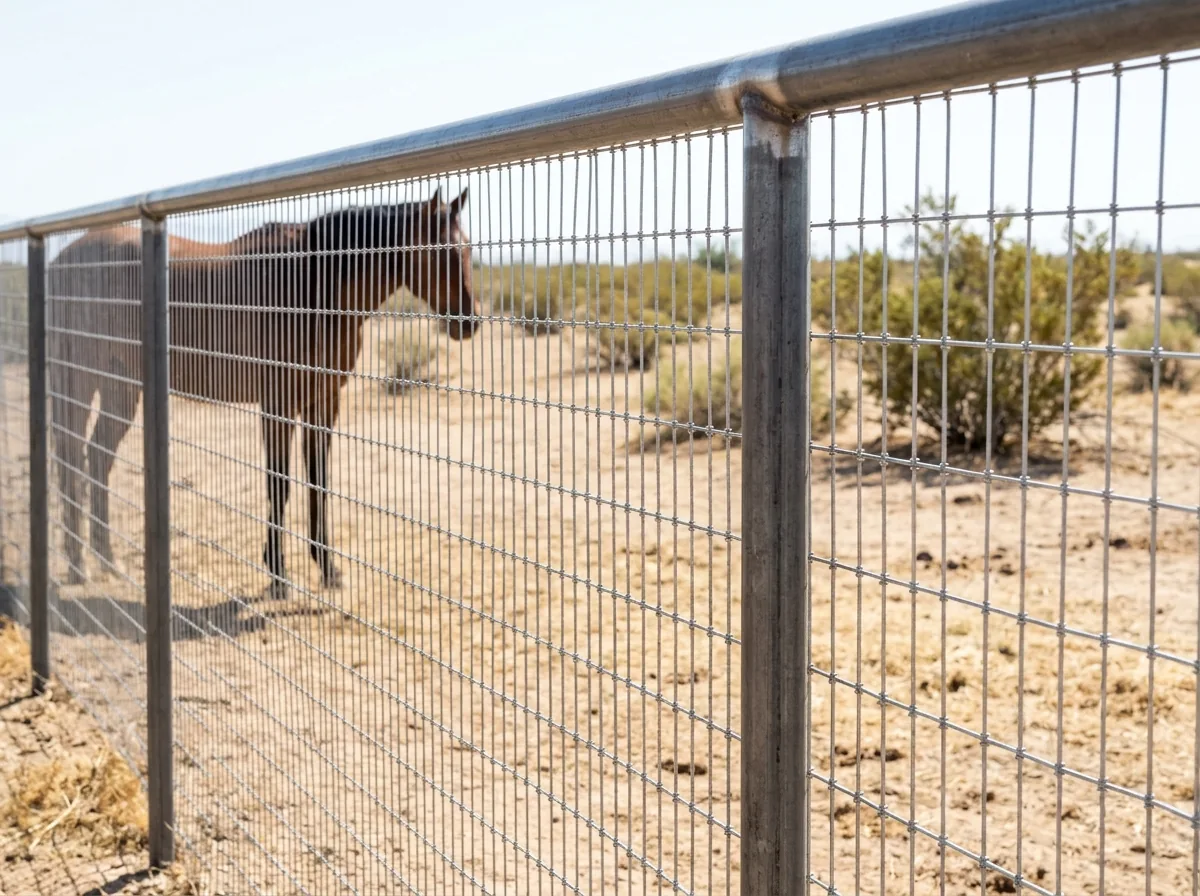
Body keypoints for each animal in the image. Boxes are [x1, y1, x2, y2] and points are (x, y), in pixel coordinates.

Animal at [47, 186, 476, 599]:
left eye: (469, 247)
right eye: (440, 251)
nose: (468, 322)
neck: (314, 282)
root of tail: (61, 260)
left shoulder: (323, 404)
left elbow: (318, 481)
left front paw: (328, 569)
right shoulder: (278, 405)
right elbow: (279, 484)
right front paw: (278, 576)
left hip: (120, 384)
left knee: (97, 456)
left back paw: (106, 560)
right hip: (80, 379)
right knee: (71, 458)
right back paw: (78, 565)